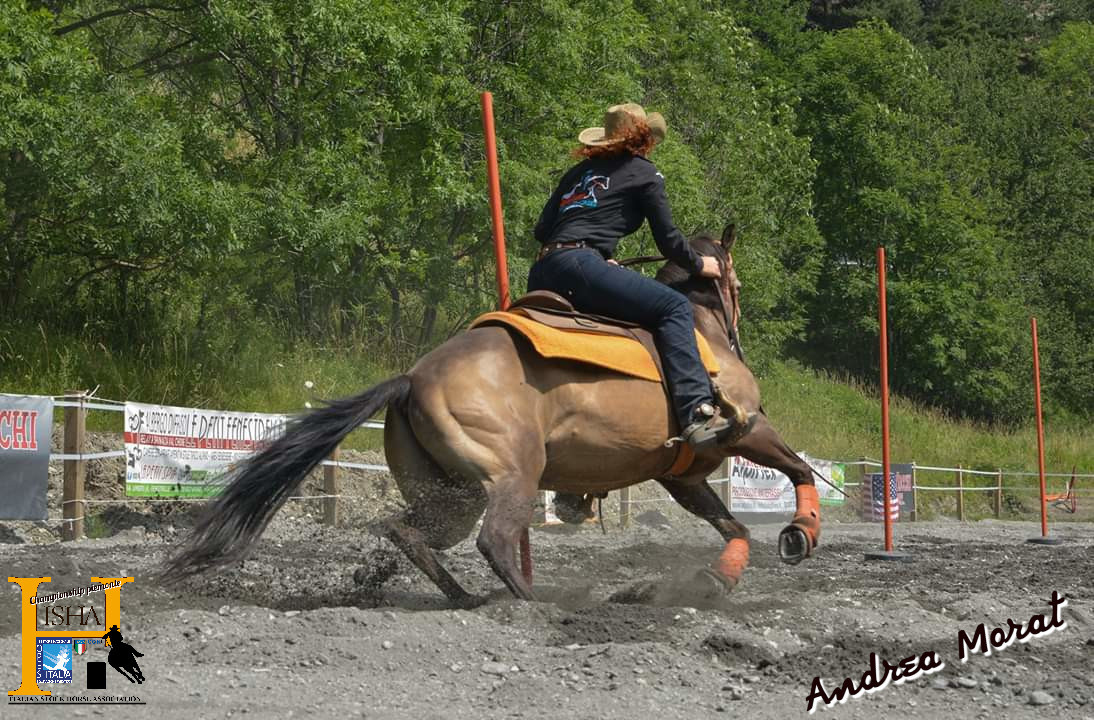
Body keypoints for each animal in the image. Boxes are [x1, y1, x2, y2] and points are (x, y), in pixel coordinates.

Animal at [158, 224, 818, 604]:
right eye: (735, 283)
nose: (739, 316)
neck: (699, 328)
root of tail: (412, 378)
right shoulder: (748, 428)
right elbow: (797, 468)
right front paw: (801, 532)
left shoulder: (680, 476)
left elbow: (733, 526)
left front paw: (722, 577)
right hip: (512, 476)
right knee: (495, 540)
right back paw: (530, 602)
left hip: (449, 493)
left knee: (408, 532)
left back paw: (462, 598)